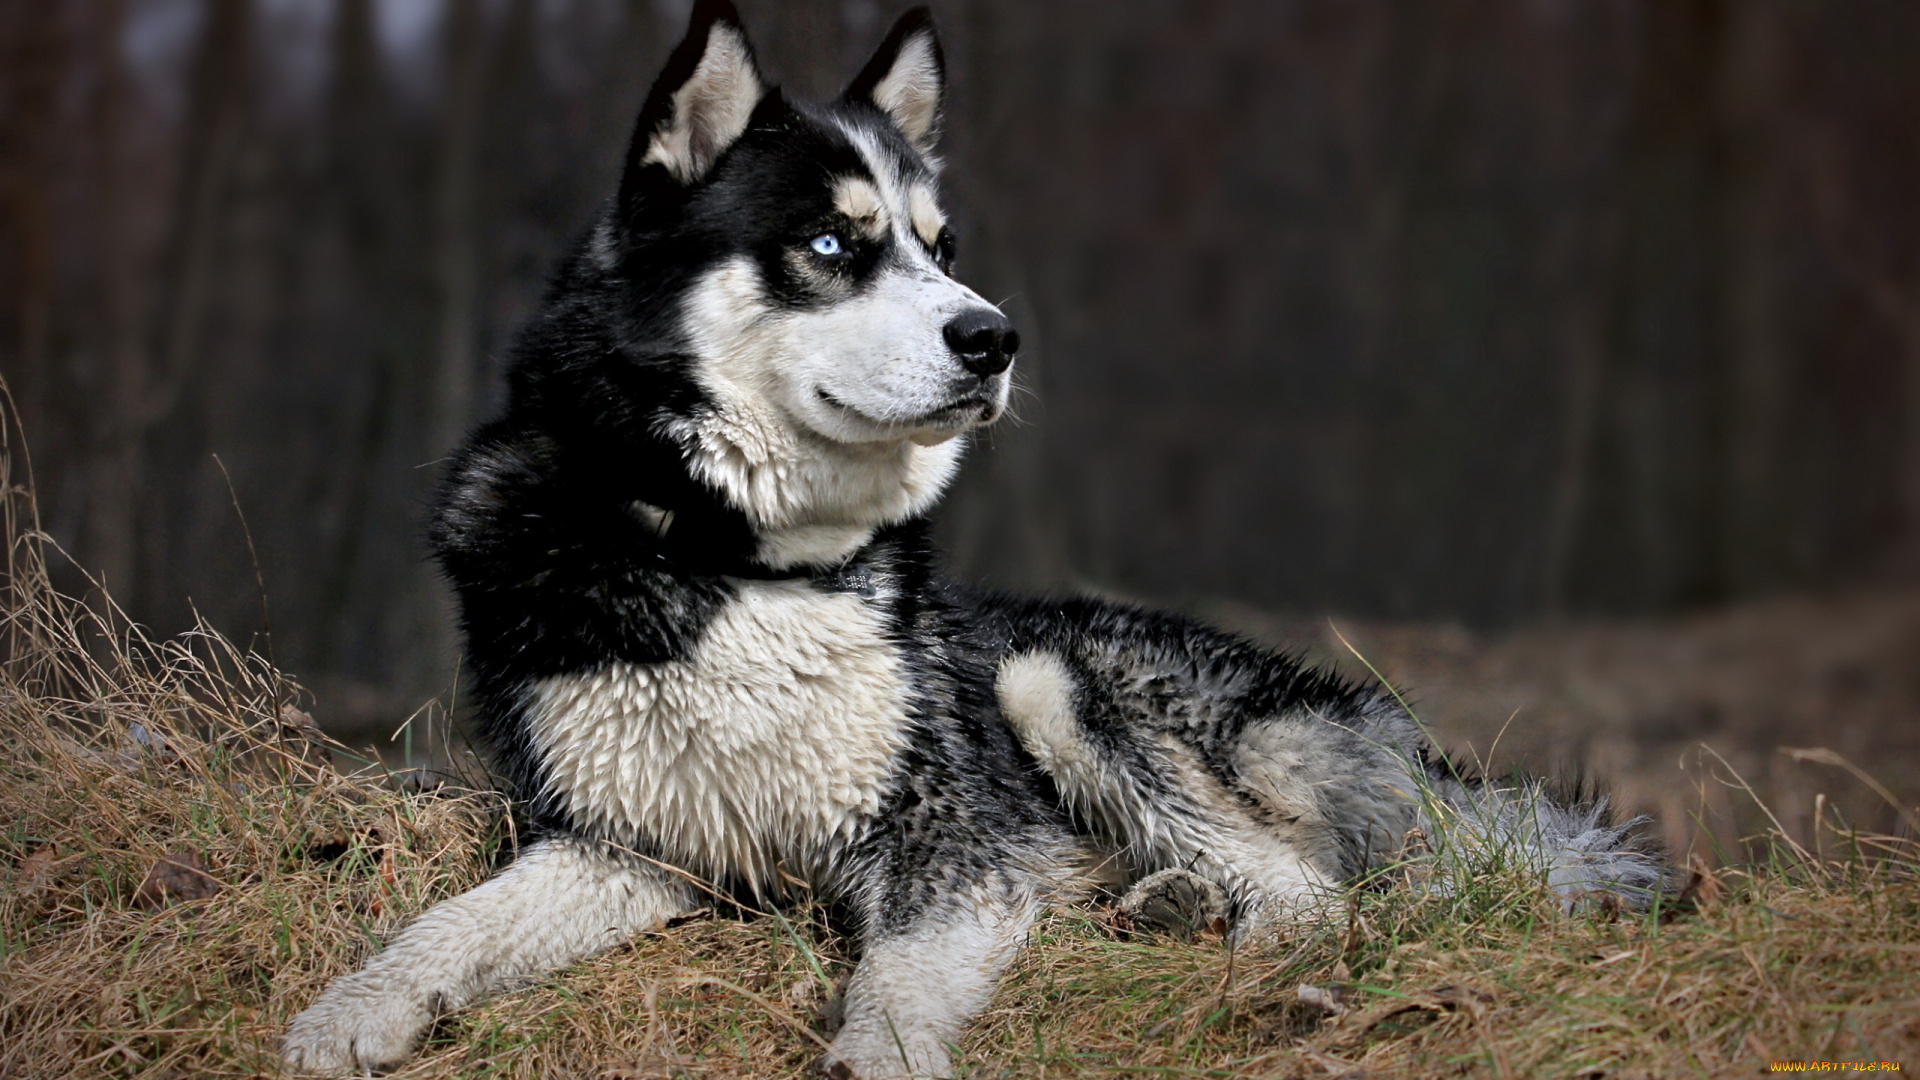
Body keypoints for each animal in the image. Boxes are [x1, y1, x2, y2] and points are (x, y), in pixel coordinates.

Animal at [284, 4, 1666, 1068]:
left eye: (940, 249)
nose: (995, 337)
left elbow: (894, 987)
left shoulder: (945, 842)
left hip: (1045, 677)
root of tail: (1381, 725)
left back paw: (1254, 958)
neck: (736, 560)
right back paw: (1165, 904)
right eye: (831, 244)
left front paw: (880, 1057)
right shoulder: (629, 844)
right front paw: (348, 1013)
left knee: (1310, 892)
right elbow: (449, 929)